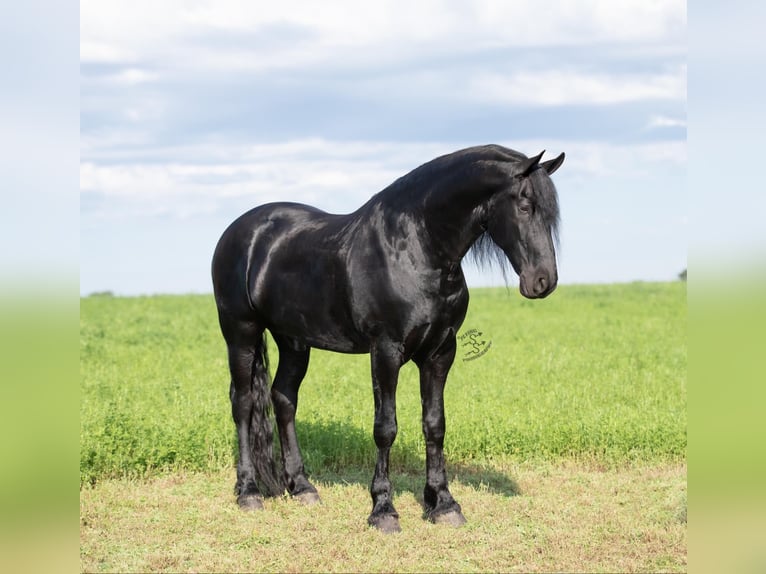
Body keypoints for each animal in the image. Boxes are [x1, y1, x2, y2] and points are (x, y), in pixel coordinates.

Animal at [210, 144, 564, 536]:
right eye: (525, 206)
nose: (543, 281)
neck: (415, 249)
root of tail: (240, 230)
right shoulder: (385, 351)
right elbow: (385, 428)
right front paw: (383, 509)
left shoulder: (440, 352)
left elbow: (435, 425)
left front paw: (443, 503)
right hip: (240, 333)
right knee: (243, 404)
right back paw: (248, 492)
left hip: (293, 340)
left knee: (284, 400)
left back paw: (302, 487)